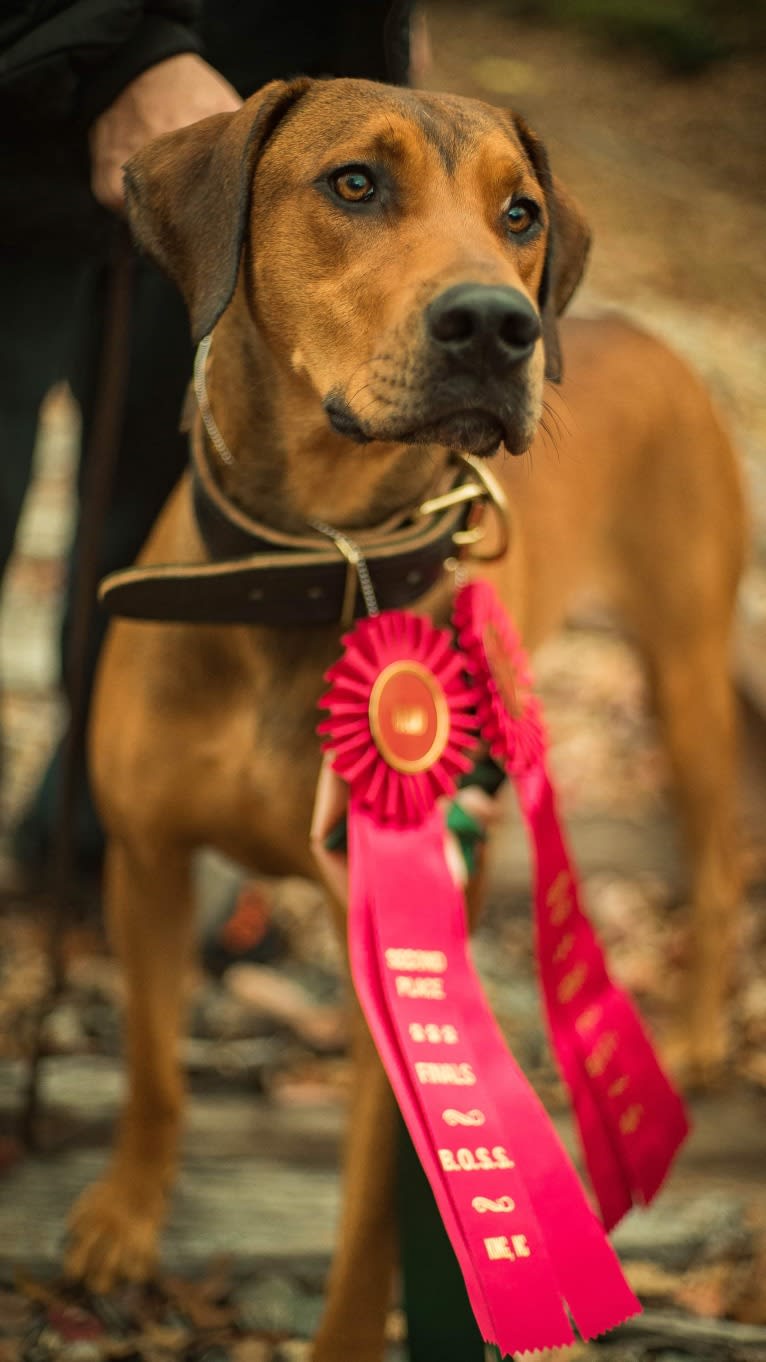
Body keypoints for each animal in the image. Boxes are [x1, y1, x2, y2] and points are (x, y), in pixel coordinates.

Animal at [67, 79, 746, 1356]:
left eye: (521, 212)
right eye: (353, 183)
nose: (496, 326)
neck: (317, 566)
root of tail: (653, 342)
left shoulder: (399, 938)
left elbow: (373, 1224)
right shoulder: (145, 858)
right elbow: (152, 1067)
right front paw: (125, 1214)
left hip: (686, 666)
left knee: (719, 855)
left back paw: (693, 1031)